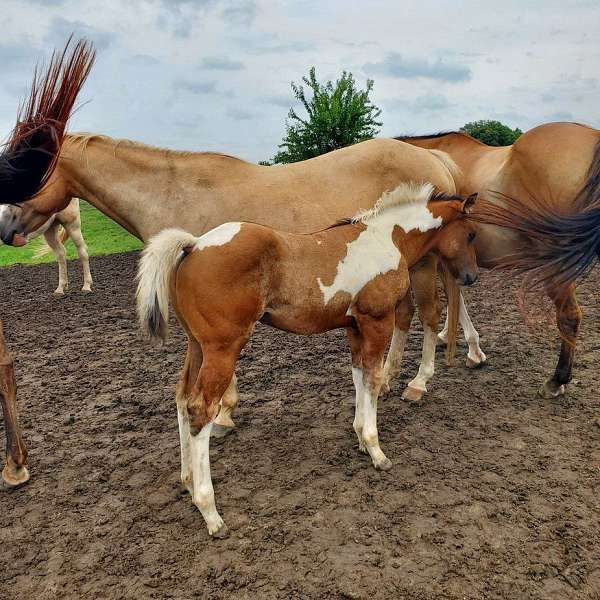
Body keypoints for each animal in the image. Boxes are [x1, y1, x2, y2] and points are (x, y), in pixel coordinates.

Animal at [0, 38, 466, 488]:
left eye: (23, 164)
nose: (5, 228)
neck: (176, 191)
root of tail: (432, 157)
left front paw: (223, 415)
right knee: (408, 316)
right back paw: (389, 378)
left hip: (424, 265)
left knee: (429, 314)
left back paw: (418, 382)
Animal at [135, 183, 478, 540]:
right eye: (471, 235)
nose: (471, 277)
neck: (388, 237)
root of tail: (194, 245)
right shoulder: (377, 321)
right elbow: (372, 379)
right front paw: (376, 450)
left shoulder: (355, 327)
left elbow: (359, 377)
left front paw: (360, 438)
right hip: (222, 349)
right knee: (200, 410)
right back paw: (210, 512)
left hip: (197, 346)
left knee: (181, 398)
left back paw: (188, 483)